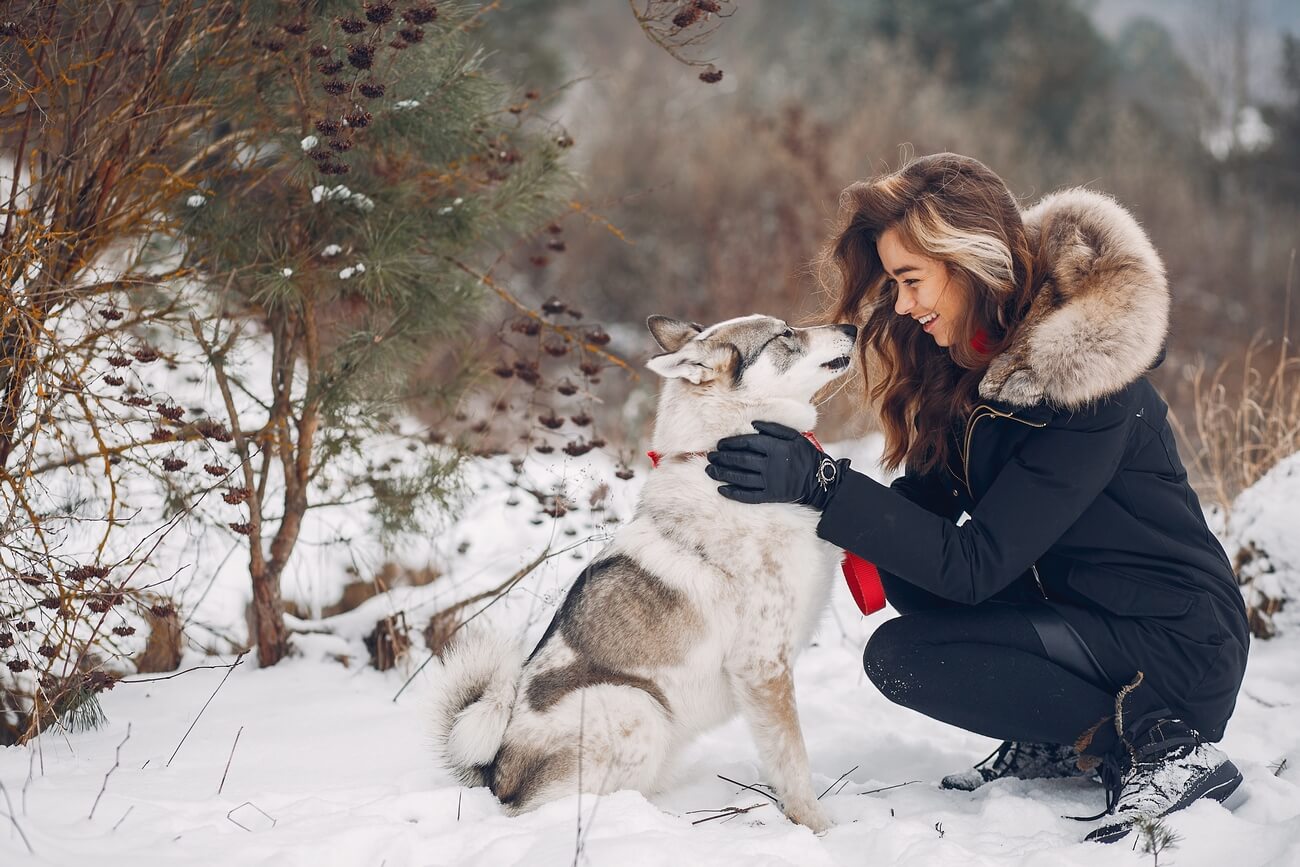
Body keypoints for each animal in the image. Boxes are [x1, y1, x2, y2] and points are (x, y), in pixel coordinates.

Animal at [426, 313, 863, 831]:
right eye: (785, 334)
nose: (853, 328)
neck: (725, 459)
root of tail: (496, 772)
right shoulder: (763, 665)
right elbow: (793, 762)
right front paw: (819, 828)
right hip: (638, 708)